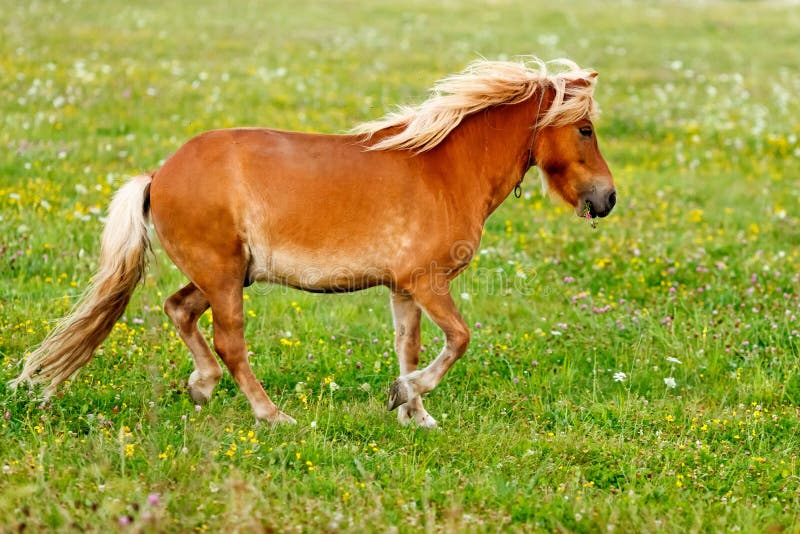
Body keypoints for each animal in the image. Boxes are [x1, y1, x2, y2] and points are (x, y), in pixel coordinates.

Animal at [12, 57, 615, 428]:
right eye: (585, 129)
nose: (607, 198)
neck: (444, 170)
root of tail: (159, 174)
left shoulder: (403, 289)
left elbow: (410, 349)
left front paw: (413, 410)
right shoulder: (428, 282)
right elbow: (459, 340)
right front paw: (409, 398)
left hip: (223, 274)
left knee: (178, 309)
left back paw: (202, 387)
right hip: (224, 277)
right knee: (229, 342)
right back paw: (271, 415)